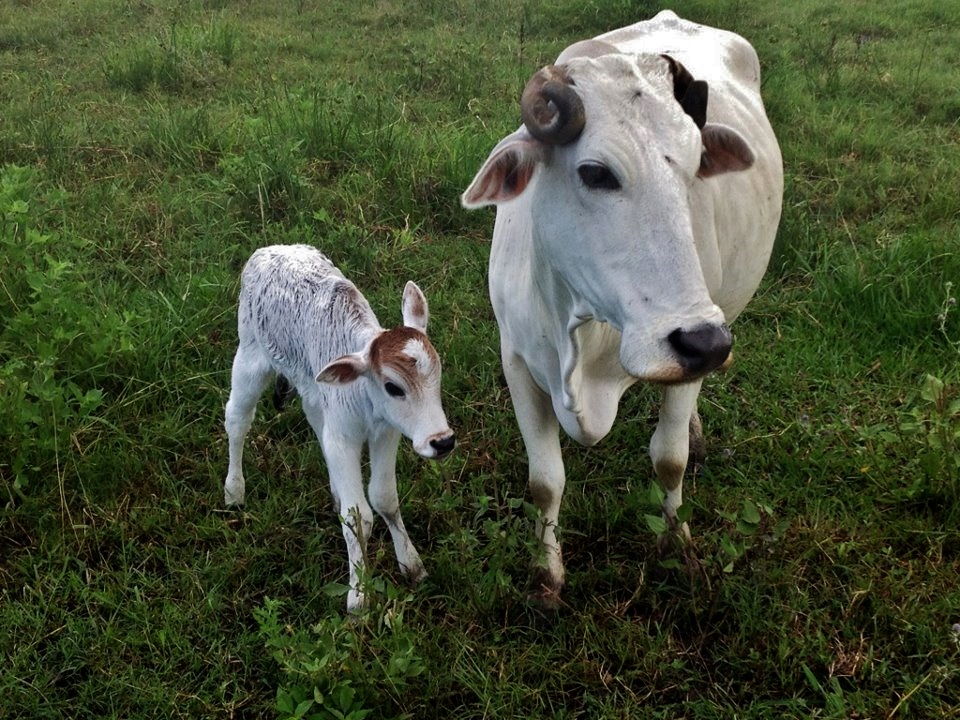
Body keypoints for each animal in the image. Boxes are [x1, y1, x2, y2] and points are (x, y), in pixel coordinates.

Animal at [223, 244, 456, 612]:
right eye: (393, 387)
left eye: (438, 373)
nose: (443, 441)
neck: (363, 397)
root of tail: (269, 250)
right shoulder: (344, 438)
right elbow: (358, 516)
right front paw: (358, 596)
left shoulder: (385, 432)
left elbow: (384, 498)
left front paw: (412, 565)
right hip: (249, 357)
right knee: (237, 418)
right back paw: (234, 490)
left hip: (313, 389)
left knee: (314, 420)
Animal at [461, 10, 783, 608]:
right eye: (596, 173)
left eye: (697, 166)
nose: (707, 343)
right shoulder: (516, 362)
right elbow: (545, 481)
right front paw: (547, 575)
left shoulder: (687, 358)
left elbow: (669, 458)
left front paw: (676, 544)